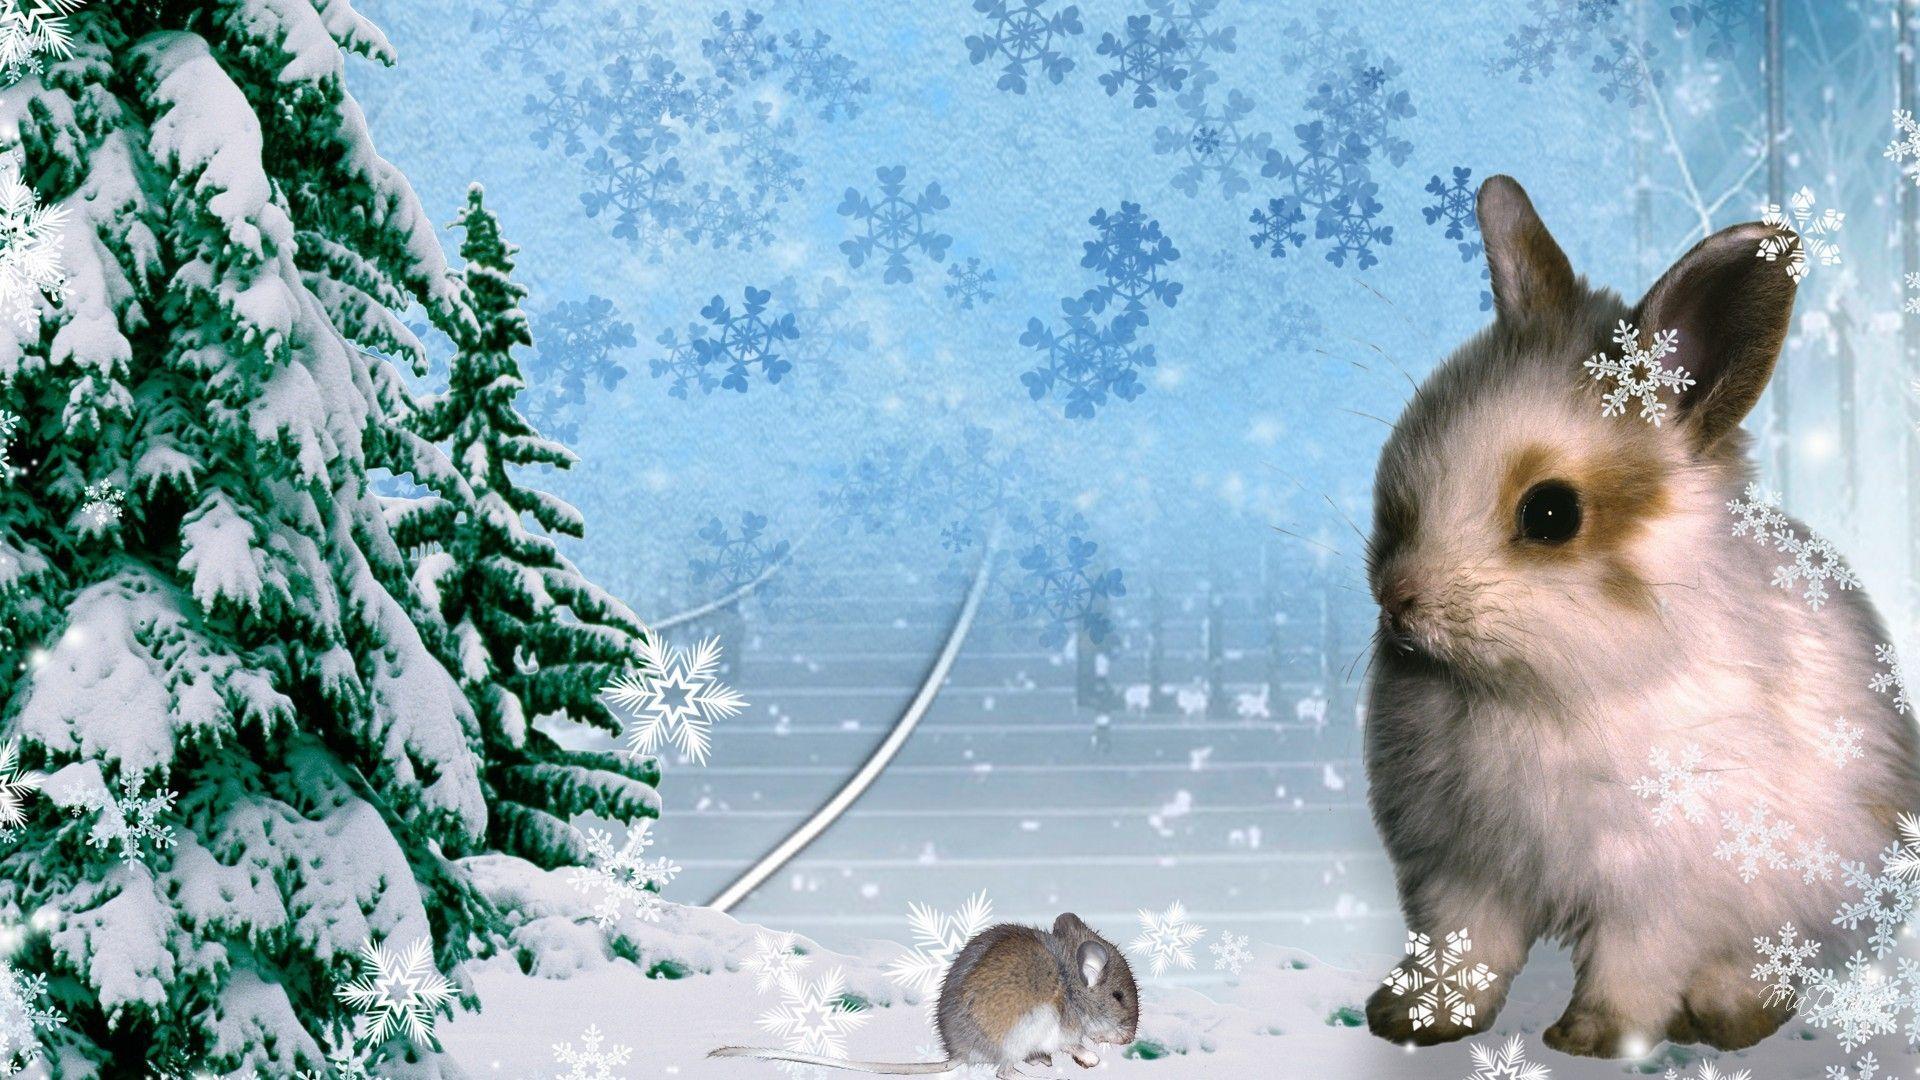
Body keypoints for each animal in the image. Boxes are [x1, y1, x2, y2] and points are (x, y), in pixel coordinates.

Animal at [711, 913, 1139, 1078]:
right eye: (1119, 996)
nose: (1129, 1039)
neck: (1072, 983)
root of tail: (960, 1054)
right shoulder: (1064, 1027)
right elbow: (1076, 1044)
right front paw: (1092, 1058)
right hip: (1023, 1032)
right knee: (1003, 1071)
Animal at [1359, 174, 1920, 1059]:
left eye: (1552, 514)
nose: (1397, 598)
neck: (1533, 693)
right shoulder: (1460, 873)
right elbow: (1463, 949)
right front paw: (1414, 1019)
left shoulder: (1658, 887)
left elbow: (1635, 963)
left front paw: (1592, 1041)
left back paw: (1726, 1016)